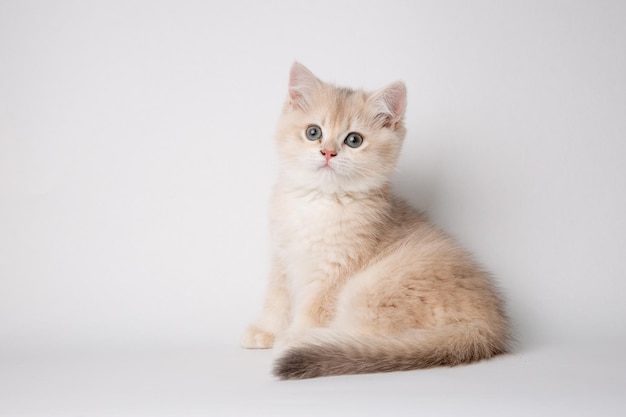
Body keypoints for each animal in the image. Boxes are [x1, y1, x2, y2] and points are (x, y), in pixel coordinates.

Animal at [241, 62, 510, 380]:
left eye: (353, 140)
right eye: (313, 132)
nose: (328, 152)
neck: (320, 202)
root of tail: (487, 326)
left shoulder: (336, 271)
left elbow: (314, 310)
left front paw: (291, 334)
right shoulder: (283, 259)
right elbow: (277, 301)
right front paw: (266, 331)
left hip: (371, 289)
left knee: (364, 338)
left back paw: (304, 342)